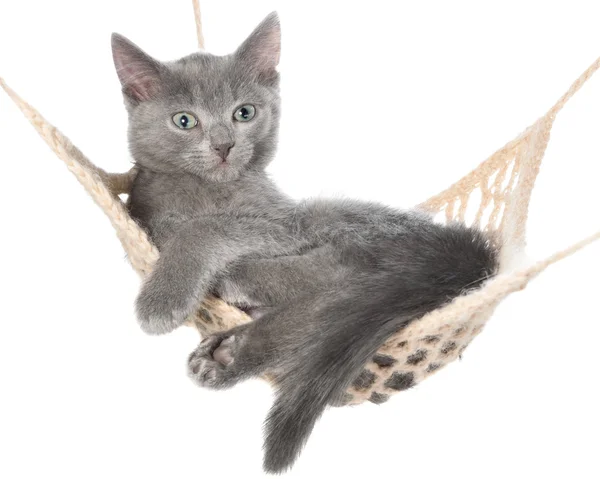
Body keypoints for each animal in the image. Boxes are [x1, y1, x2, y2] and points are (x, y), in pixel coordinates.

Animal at [111, 13, 496, 474]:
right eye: (184, 120)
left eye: (244, 113)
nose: (224, 145)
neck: (211, 192)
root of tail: (470, 251)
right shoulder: (150, 220)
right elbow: (180, 228)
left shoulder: (281, 221)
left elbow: (208, 228)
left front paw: (162, 298)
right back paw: (231, 350)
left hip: (339, 219)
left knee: (350, 273)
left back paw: (240, 314)